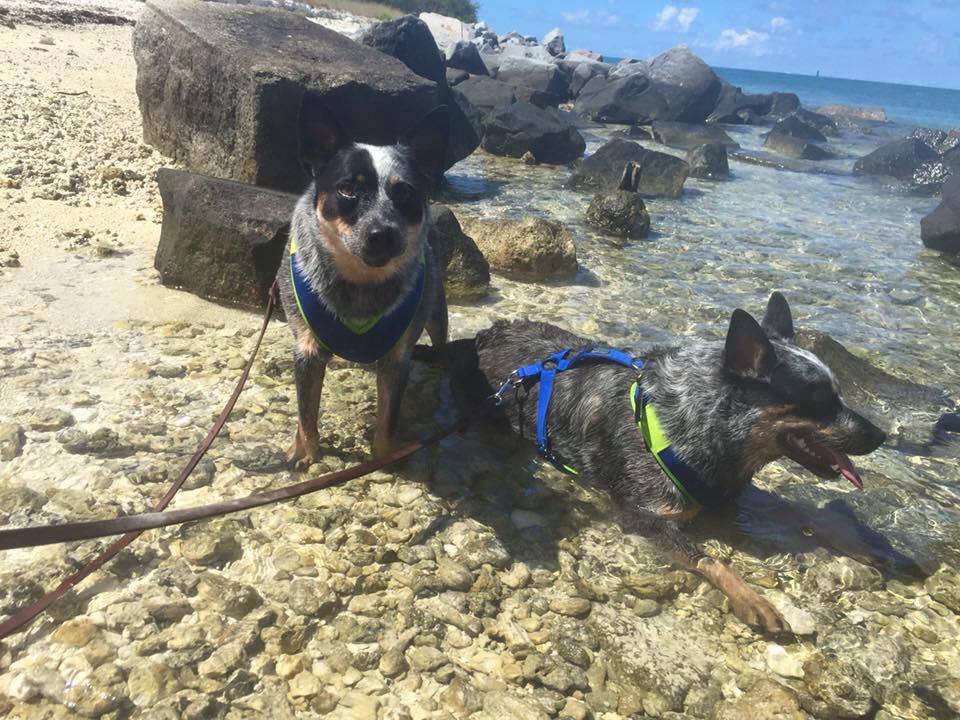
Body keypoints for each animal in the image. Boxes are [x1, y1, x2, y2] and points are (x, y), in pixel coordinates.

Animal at [278, 100, 450, 466]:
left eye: (406, 192)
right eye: (348, 189)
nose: (382, 233)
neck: (360, 281)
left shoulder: (397, 358)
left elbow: (388, 417)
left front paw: (384, 457)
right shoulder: (306, 350)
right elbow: (306, 411)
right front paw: (306, 452)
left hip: (435, 306)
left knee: (440, 335)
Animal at [466, 292, 884, 632]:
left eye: (839, 397)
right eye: (821, 403)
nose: (882, 436)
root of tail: (491, 332)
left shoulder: (730, 492)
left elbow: (798, 511)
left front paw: (858, 543)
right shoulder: (644, 514)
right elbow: (711, 559)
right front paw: (752, 598)